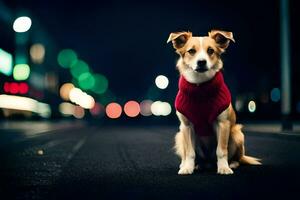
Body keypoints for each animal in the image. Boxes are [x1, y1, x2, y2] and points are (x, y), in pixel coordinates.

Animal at [168, 29, 262, 175]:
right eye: (191, 51)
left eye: (211, 50)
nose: (201, 62)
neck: (200, 87)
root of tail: (208, 162)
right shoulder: (186, 126)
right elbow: (189, 152)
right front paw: (187, 167)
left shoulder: (223, 124)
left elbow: (221, 151)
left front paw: (224, 168)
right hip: (179, 136)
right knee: (190, 155)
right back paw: (192, 165)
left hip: (237, 134)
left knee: (236, 158)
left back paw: (231, 163)